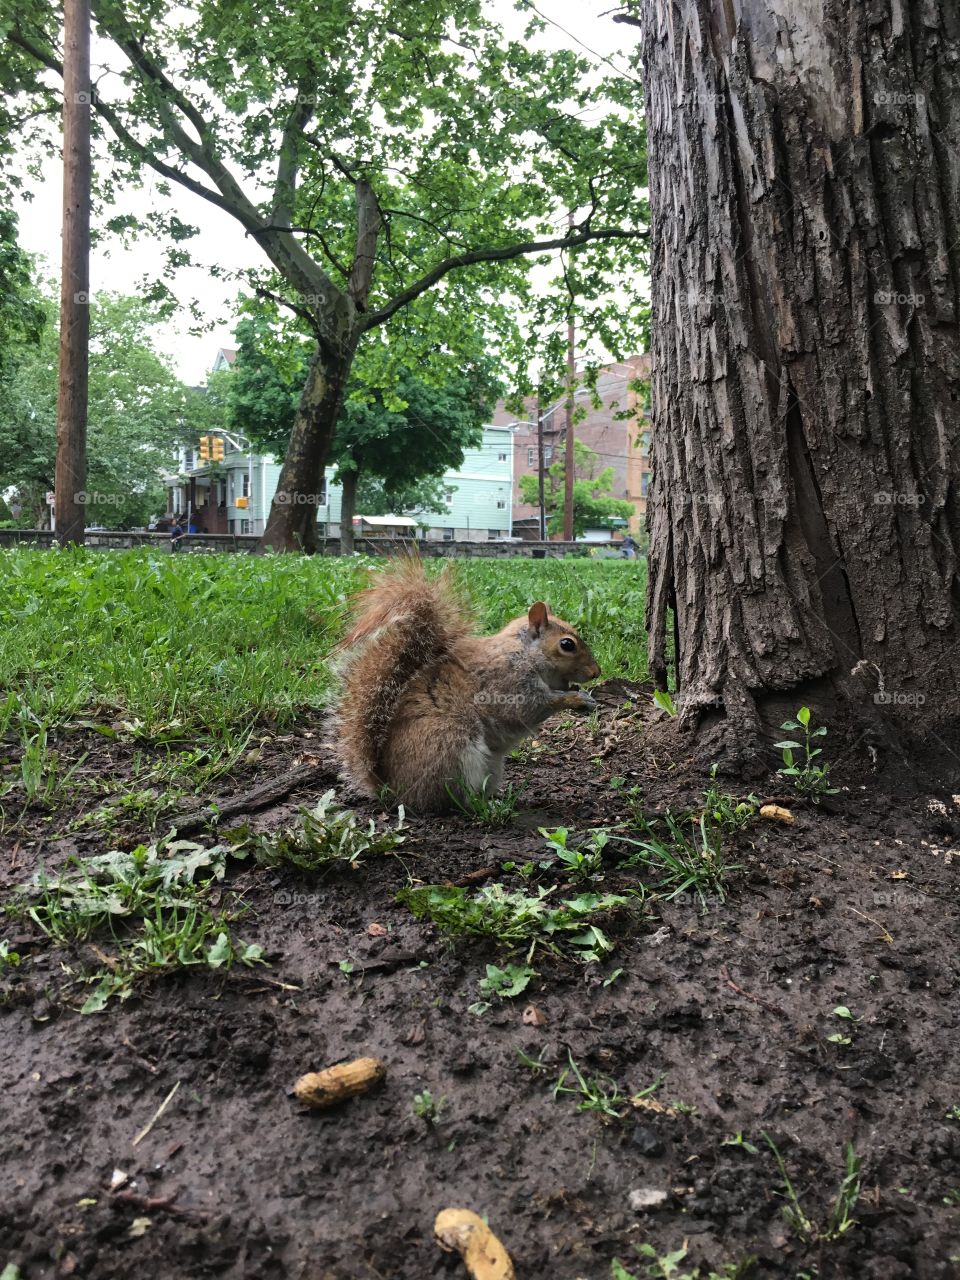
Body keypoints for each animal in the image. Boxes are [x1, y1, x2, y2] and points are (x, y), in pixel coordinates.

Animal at [330, 558, 601, 808]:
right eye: (567, 644)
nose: (596, 672)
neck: (523, 652)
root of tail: (393, 790)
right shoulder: (507, 683)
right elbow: (527, 709)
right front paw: (576, 699)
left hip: (490, 766)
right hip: (450, 746)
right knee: (452, 799)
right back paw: (479, 806)